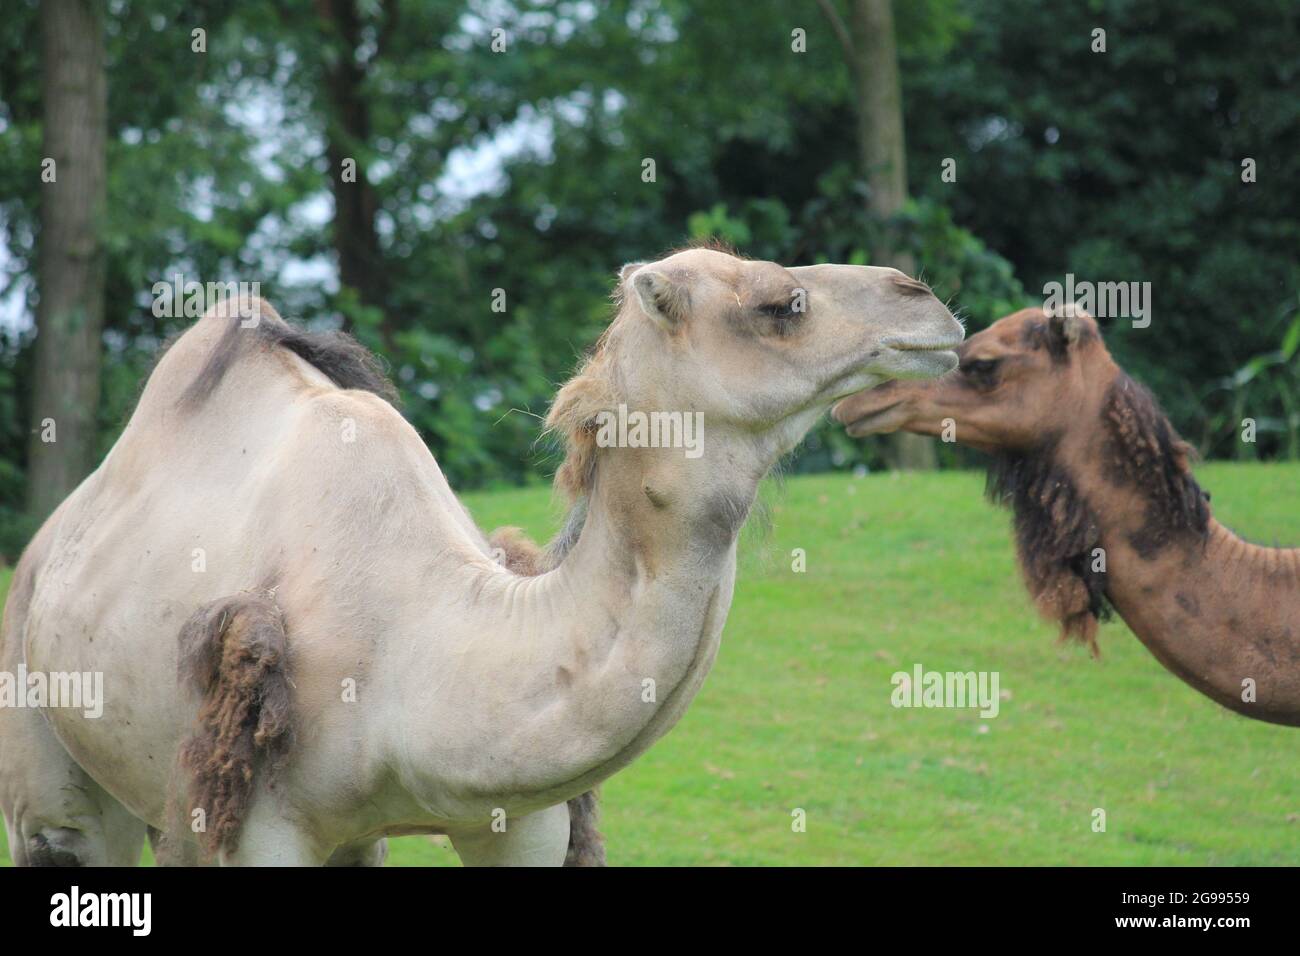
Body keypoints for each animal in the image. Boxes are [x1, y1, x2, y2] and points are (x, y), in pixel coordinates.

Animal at [0, 248, 961, 868]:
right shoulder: (259, 824)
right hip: (52, 763)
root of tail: (43, 551)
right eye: (780, 303)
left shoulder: (521, 822)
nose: (929, 300)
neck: (414, 652)